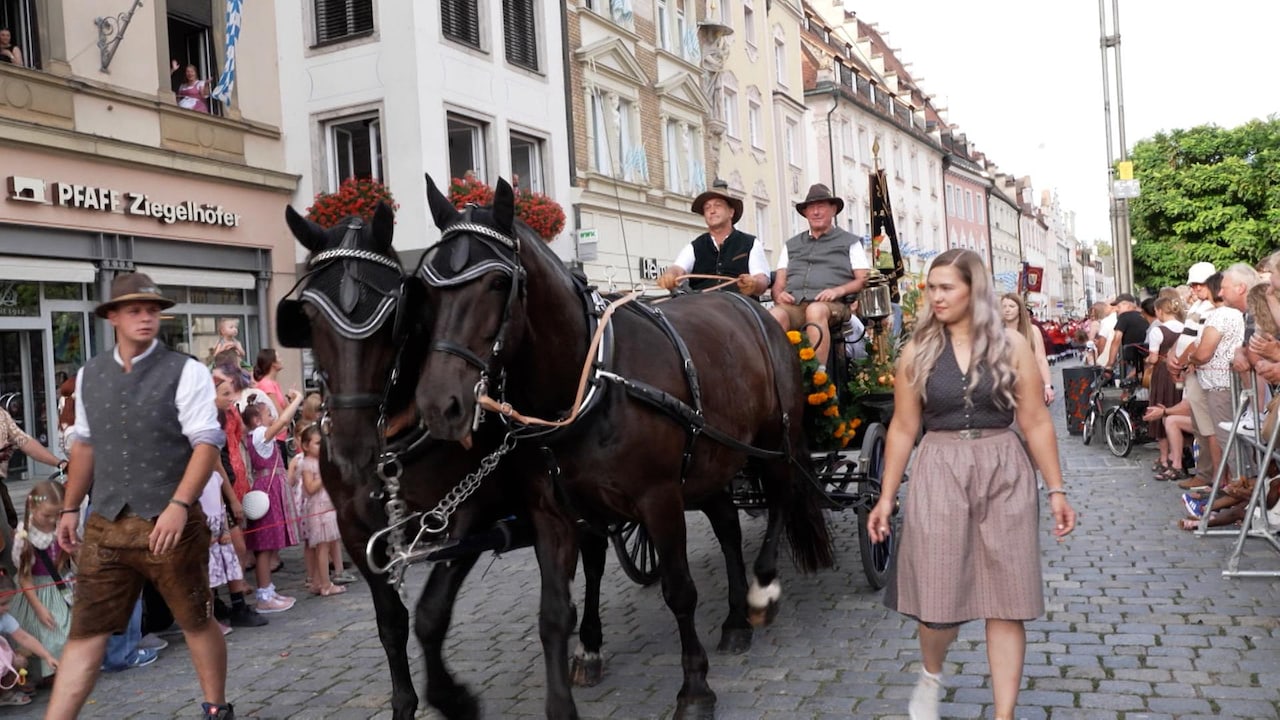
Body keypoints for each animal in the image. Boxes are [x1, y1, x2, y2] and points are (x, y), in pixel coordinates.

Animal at [409, 175, 829, 717]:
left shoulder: (658, 499)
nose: (440, 405)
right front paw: (565, 694)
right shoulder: (553, 513)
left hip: (774, 445)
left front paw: (695, 689)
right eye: (426, 288)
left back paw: (761, 593)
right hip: (712, 462)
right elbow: (553, 614)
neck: (589, 382)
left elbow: (679, 590)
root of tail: (752, 309)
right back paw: (736, 619)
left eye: (499, 282)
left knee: (778, 504)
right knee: (729, 528)